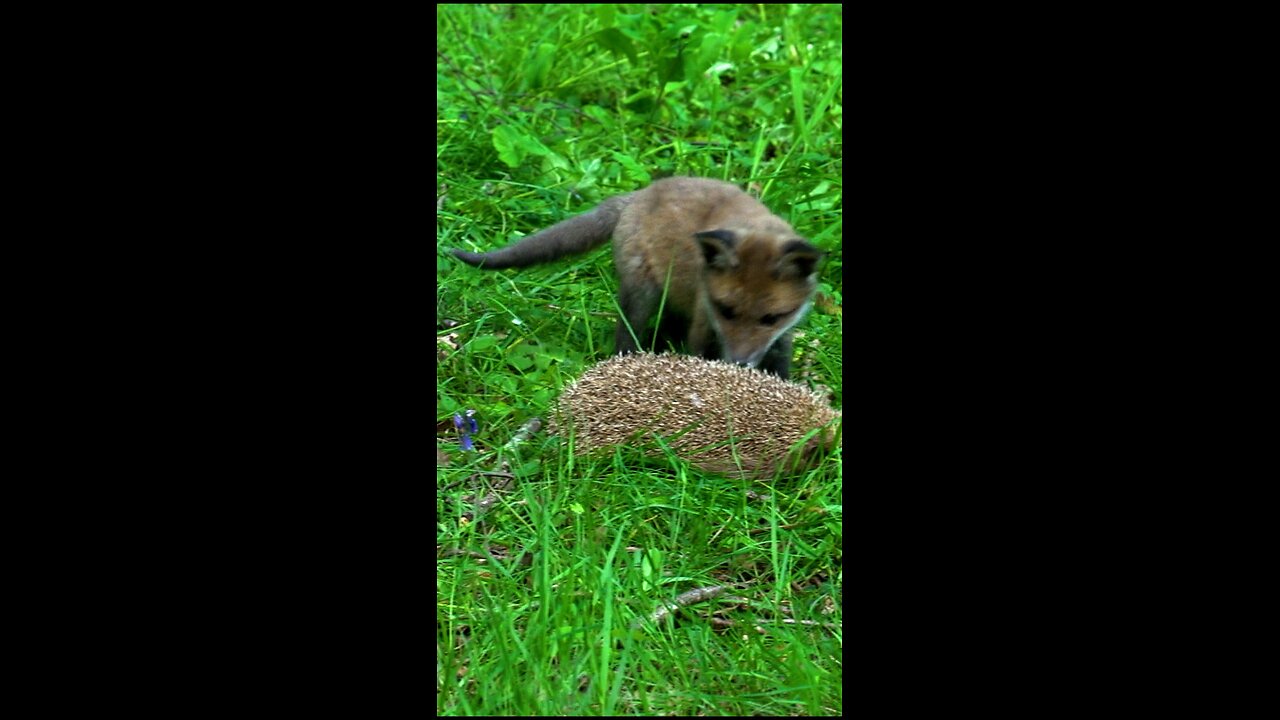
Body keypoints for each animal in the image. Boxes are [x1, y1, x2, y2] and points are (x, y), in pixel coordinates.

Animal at [450, 176, 824, 379]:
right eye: (726, 310)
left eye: (771, 318)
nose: (741, 362)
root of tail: (638, 194)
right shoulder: (704, 321)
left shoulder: (780, 338)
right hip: (640, 292)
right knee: (626, 335)